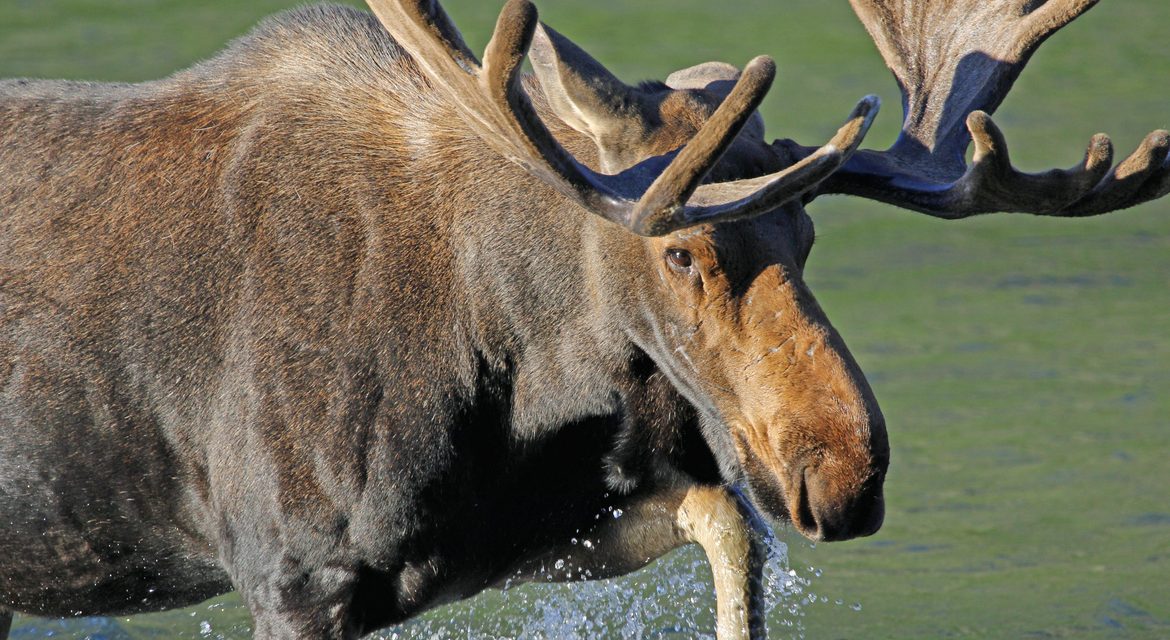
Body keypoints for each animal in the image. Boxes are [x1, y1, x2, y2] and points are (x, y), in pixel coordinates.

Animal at [1, 0, 1166, 638]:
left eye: (808, 235)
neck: (511, 364)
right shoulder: (292, 572)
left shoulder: (528, 534)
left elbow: (730, 529)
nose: (843, 469)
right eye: (683, 250)